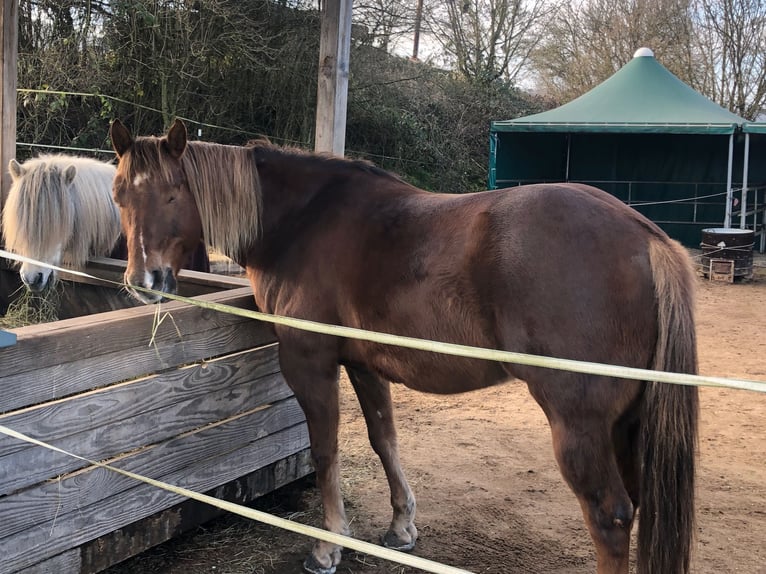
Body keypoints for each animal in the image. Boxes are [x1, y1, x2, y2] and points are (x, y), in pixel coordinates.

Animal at [109, 119, 704, 572]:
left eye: (173, 193)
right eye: (119, 195)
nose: (144, 281)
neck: (301, 221)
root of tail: (645, 235)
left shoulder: (310, 362)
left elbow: (326, 449)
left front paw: (328, 546)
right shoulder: (364, 365)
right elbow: (384, 440)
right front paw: (401, 526)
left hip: (578, 423)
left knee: (610, 515)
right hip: (627, 424)